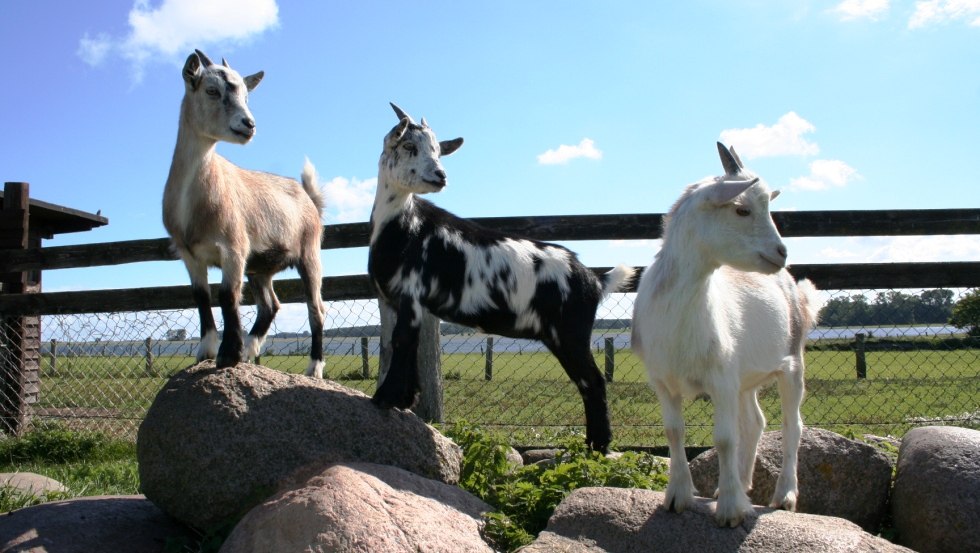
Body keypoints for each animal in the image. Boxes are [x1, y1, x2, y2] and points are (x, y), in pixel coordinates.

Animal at [162, 49, 326, 377]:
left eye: (246, 96)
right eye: (212, 90)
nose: (248, 124)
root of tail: (309, 199)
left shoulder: (234, 248)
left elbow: (227, 296)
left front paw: (228, 355)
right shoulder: (189, 254)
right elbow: (201, 297)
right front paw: (205, 351)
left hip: (310, 253)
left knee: (316, 308)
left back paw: (314, 367)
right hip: (261, 267)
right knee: (270, 305)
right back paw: (251, 348)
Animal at [368, 103, 634, 453]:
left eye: (438, 150)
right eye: (409, 145)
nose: (440, 176)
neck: (405, 225)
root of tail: (594, 279)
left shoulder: (411, 294)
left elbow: (399, 342)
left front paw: (383, 398)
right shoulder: (404, 302)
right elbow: (405, 345)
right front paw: (404, 399)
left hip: (571, 333)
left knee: (593, 381)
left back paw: (598, 447)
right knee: (588, 382)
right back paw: (593, 444)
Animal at [631, 142, 821, 527]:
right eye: (742, 209)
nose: (781, 252)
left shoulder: (721, 378)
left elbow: (724, 439)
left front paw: (732, 511)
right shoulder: (663, 380)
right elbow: (675, 431)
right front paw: (678, 497)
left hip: (792, 363)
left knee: (792, 425)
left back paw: (784, 495)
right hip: (744, 377)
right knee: (755, 422)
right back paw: (740, 483)